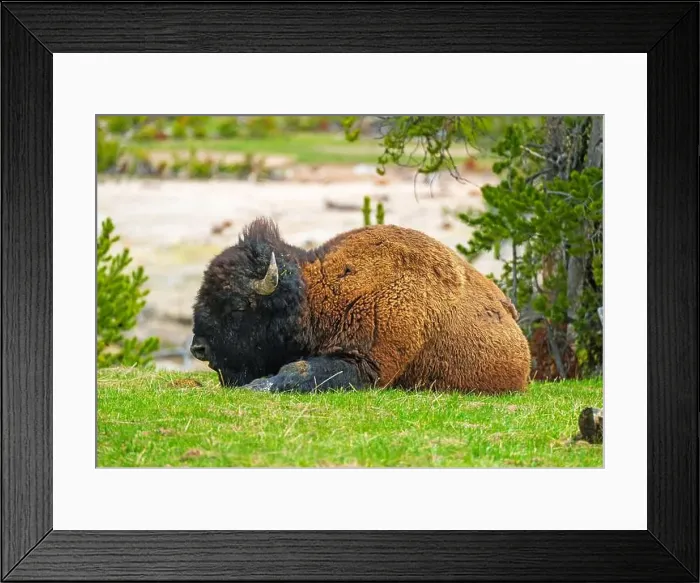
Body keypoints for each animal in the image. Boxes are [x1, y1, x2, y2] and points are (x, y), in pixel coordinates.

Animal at [190, 217, 531, 393]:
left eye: (238, 306)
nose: (198, 348)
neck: (317, 295)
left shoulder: (366, 365)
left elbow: (298, 369)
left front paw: (258, 386)